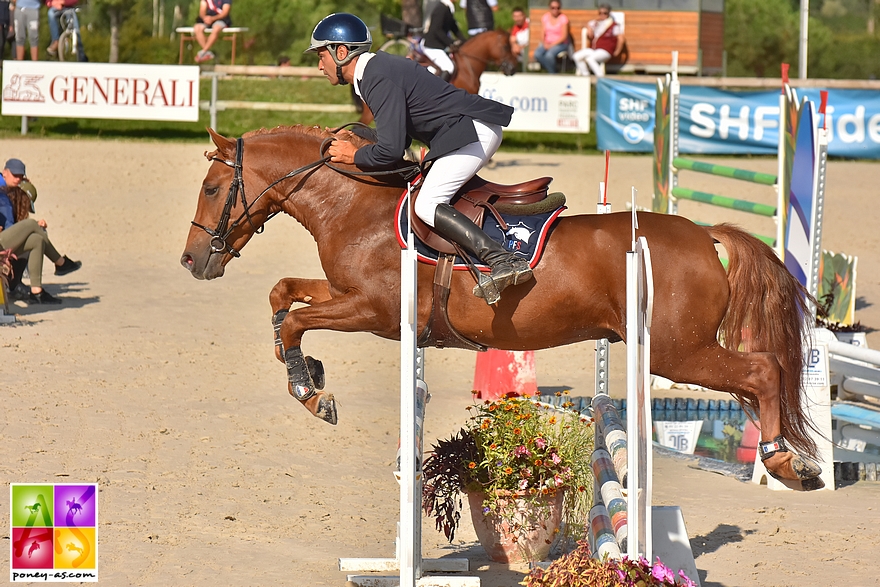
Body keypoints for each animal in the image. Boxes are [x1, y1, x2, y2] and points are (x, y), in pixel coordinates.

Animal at [179, 126, 824, 490]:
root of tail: (704, 236)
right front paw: (307, 371)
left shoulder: (374, 311)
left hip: (675, 350)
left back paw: (785, 464)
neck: (356, 204)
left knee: (763, 370)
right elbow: (283, 295)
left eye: (211, 189)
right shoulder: (345, 294)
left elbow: (295, 317)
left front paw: (310, 393)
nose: (192, 261)